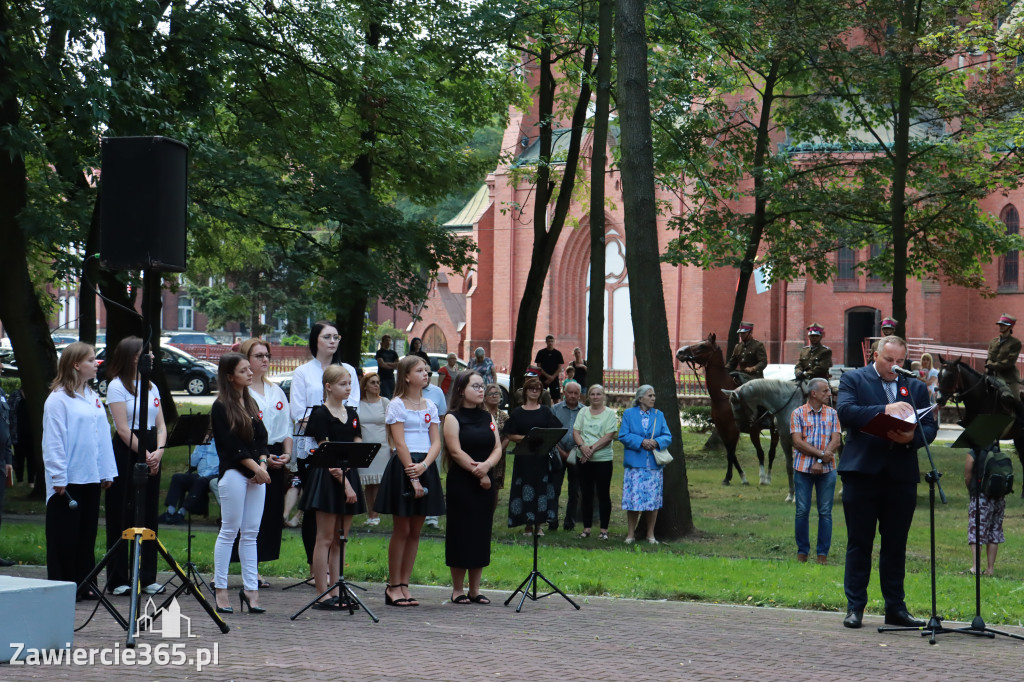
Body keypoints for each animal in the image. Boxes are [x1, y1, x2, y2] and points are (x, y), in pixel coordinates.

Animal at [675, 333, 778, 483]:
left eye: (703, 346)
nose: (680, 352)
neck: (723, 396)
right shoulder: (721, 428)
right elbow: (730, 453)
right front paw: (731, 477)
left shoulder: (733, 429)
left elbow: (732, 452)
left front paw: (738, 477)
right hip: (755, 431)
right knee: (763, 452)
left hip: (772, 430)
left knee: (769, 452)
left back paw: (767, 478)